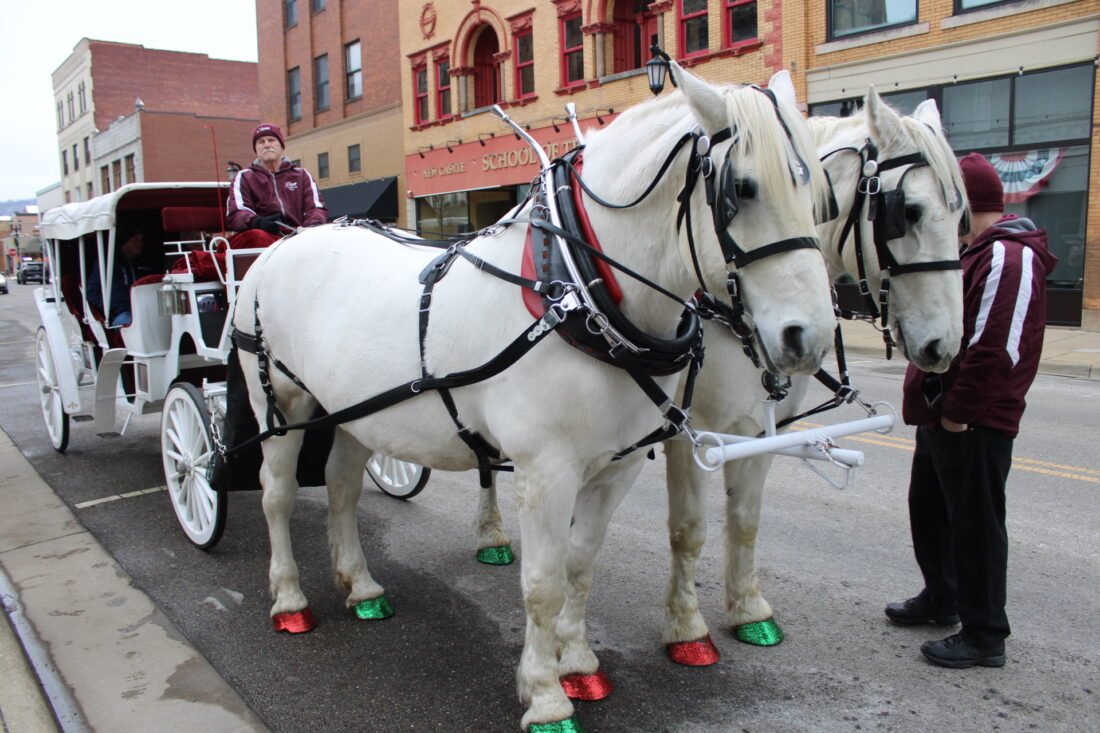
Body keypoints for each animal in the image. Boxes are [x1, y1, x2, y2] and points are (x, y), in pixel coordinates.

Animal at [232, 64, 836, 731]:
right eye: (742, 190)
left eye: (817, 192)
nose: (808, 338)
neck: (578, 294)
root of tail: (283, 245)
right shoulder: (545, 470)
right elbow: (542, 581)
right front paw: (546, 695)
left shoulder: (617, 465)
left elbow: (580, 563)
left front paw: (579, 665)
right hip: (280, 402)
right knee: (278, 494)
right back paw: (290, 598)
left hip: (356, 414)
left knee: (341, 487)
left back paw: (361, 587)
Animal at [659, 87, 968, 662]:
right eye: (908, 212)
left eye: (960, 215)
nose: (944, 346)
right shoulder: (689, 436)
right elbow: (688, 530)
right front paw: (687, 628)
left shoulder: (759, 431)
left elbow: (746, 520)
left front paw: (750, 611)